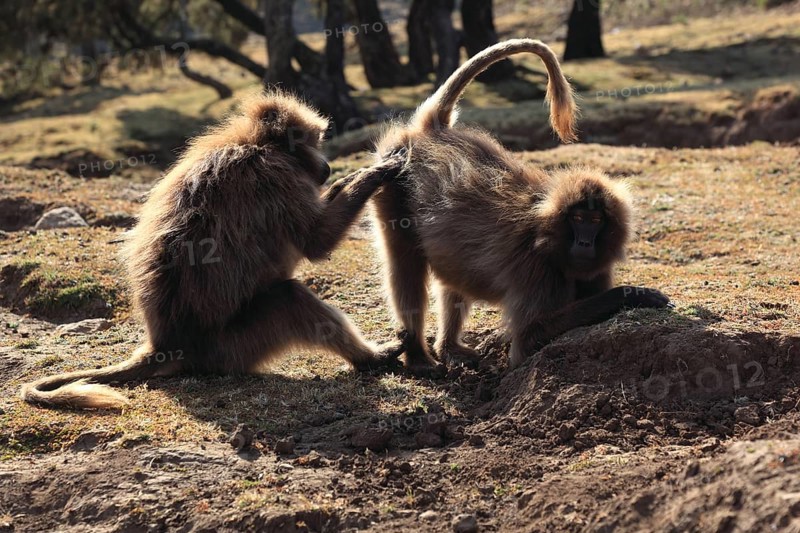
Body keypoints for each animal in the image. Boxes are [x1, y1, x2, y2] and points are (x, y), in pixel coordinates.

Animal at [20, 91, 408, 409]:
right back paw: (372, 359)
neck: (255, 144)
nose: (327, 167)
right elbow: (317, 242)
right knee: (291, 297)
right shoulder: (278, 179)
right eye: (313, 141)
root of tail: (166, 344)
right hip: (232, 347)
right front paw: (375, 172)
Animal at [371, 39, 671, 370]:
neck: (546, 235)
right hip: (393, 185)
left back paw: (449, 347)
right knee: (406, 268)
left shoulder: (593, 268)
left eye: (595, 221)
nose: (584, 243)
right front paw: (633, 295)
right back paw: (419, 358)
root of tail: (428, 133)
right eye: (578, 219)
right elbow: (528, 338)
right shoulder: (535, 269)